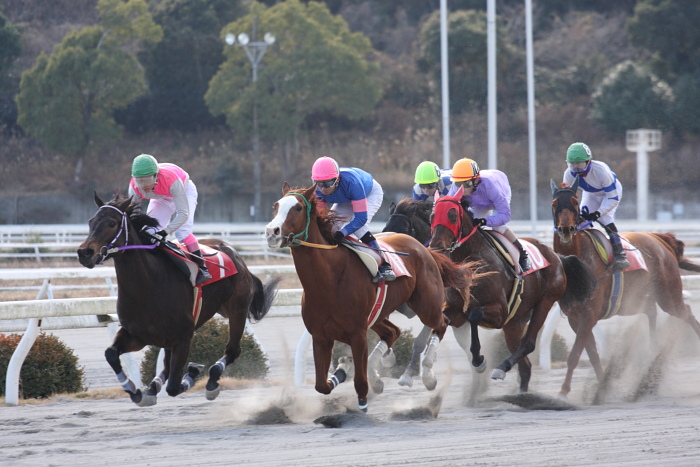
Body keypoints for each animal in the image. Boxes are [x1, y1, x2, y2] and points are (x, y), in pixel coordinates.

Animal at [76, 193, 278, 406]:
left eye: (112, 223)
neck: (147, 286)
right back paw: (152, 388)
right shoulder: (136, 334)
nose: (84, 253)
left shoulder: (183, 336)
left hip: (237, 310)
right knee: (166, 365)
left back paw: (211, 382)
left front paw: (192, 371)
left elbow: (174, 386)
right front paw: (133, 390)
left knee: (232, 351)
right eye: (91, 221)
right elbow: (111, 354)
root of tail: (235, 254)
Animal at [266, 184, 474, 414]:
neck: (328, 280)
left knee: (441, 324)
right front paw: (343, 369)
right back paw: (379, 374)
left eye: (298, 208)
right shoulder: (321, 336)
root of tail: (425, 249)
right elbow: (322, 385)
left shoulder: (357, 333)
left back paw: (427, 376)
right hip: (379, 313)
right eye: (275, 206)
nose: (271, 232)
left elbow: (359, 381)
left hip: (426, 306)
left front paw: (362, 401)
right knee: (393, 332)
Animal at [426, 188, 592, 394]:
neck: (473, 262)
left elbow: (474, 316)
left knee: (528, 344)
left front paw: (479, 361)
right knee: (525, 365)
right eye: (432, 216)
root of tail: (557, 256)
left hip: (544, 303)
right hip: (514, 322)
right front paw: (427, 374)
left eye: (453, 216)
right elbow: (441, 323)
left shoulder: (500, 312)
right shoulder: (456, 312)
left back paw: (501, 368)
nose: (436, 247)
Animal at [548, 179, 700, 398]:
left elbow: (575, 354)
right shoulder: (574, 317)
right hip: (636, 300)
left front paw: (564, 390)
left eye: (575, 202)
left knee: (686, 312)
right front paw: (602, 386)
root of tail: (658, 239)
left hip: (668, 296)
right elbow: (592, 354)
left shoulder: (589, 314)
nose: (566, 230)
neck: (578, 263)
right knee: (651, 311)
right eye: (554, 203)